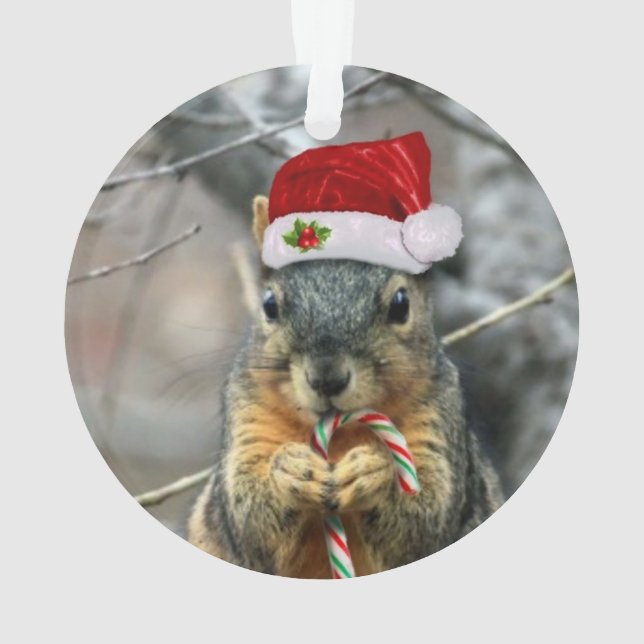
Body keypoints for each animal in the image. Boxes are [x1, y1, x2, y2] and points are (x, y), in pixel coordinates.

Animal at [187, 195, 504, 578]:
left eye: (401, 304)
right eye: (269, 305)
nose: (327, 379)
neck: (340, 437)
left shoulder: (438, 421)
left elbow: (427, 517)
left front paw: (375, 471)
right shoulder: (248, 418)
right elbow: (248, 519)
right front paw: (290, 470)